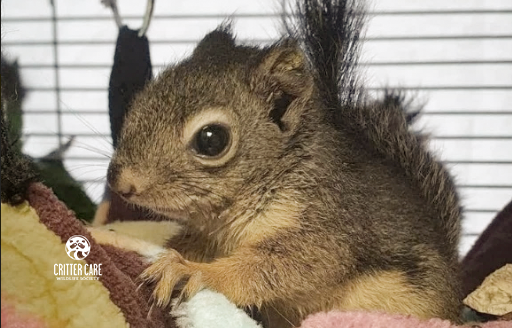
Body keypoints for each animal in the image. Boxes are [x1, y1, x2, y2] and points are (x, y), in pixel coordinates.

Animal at [106, 0, 462, 326]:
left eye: (211, 139)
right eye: (137, 102)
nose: (121, 183)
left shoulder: (328, 223)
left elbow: (279, 266)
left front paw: (192, 272)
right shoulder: (207, 236)